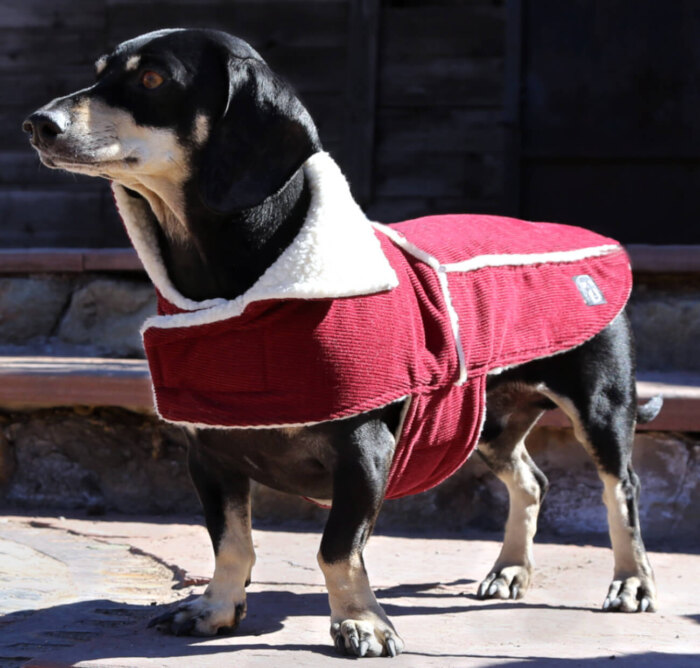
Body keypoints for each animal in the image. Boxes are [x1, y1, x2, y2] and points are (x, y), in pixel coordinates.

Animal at [24, 28, 660, 656]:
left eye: (153, 78)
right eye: (100, 71)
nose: (36, 124)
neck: (242, 290)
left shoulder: (364, 455)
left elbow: (336, 549)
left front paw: (361, 622)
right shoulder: (209, 454)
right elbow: (230, 543)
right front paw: (216, 609)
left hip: (598, 408)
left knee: (620, 490)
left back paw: (631, 582)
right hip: (480, 421)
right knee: (531, 481)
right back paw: (509, 571)